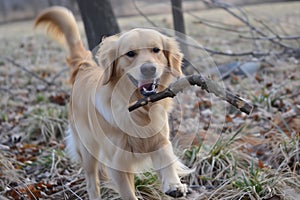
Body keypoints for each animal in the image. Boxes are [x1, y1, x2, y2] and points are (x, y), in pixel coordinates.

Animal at [34, 6, 191, 200]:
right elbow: (128, 194)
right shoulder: (117, 164)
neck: (139, 108)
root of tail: (84, 69)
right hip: (87, 151)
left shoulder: (159, 140)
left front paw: (174, 184)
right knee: (92, 182)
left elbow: (167, 159)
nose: (149, 69)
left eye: (156, 50)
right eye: (130, 54)